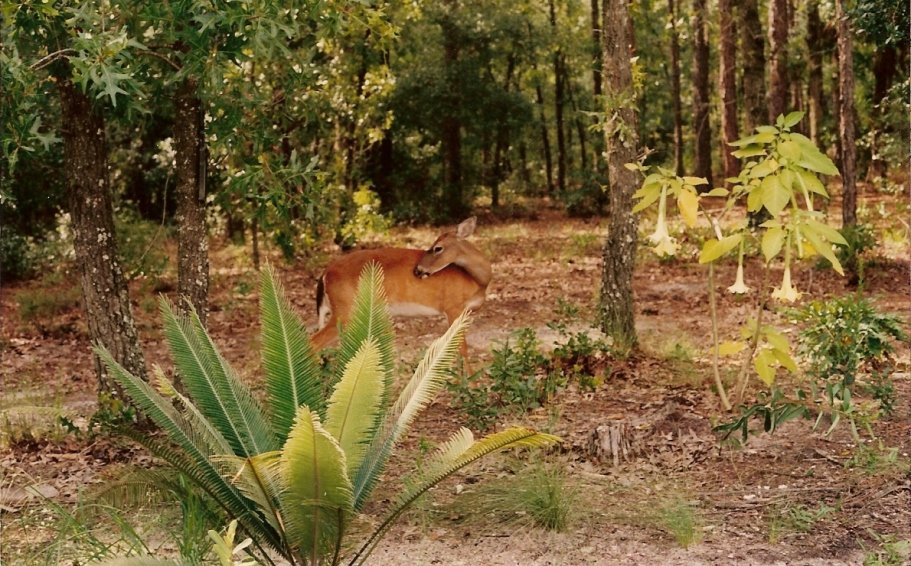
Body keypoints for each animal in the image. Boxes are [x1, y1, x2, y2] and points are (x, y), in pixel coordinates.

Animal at [312, 217, 492, 372]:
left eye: (437, 247)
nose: (417, 270)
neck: (476, 281)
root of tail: (326, 273)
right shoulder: (453, 307)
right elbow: (461, 347)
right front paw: (469, 383)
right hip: (345, 310)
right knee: (314, 342)